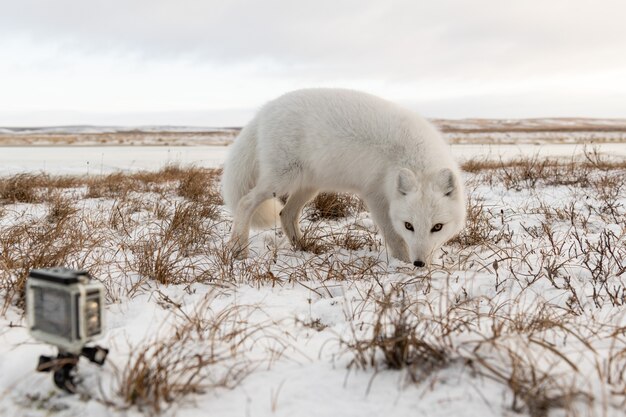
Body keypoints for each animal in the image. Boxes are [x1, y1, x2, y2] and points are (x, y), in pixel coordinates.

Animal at [219, 88, 464, 266]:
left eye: (437, 227)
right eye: (408, 225)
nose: (419, 263)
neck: (410, 157)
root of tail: (264, 110)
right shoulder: (376, 195)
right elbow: (394, 237)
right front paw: (402, 264)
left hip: (308, 185)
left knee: (285, 213)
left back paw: (304, 247)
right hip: (281, 180)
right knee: (246, 202)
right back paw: (239, 250)